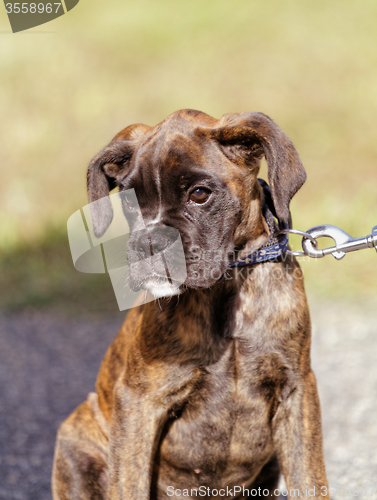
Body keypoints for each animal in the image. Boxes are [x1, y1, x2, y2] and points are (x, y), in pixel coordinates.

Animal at [51, 110, 328, 500]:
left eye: (199, 194)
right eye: (130, 201)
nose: (149, 243)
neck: (227, 289)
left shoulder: (297, 392)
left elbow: (310, 478)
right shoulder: (139, 402)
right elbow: (129, 483)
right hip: (77, 435)